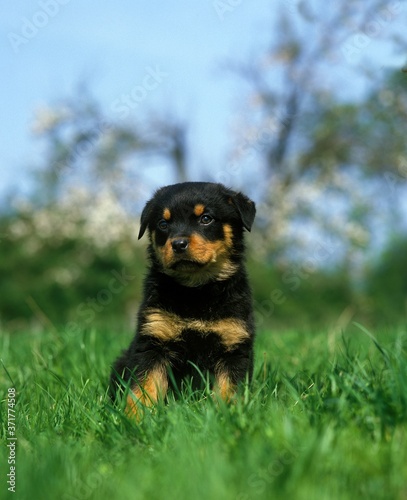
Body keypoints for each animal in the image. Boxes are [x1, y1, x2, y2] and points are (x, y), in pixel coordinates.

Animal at [110, 182, 256, 416]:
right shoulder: (153, 341)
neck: (195, 290)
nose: (178, 244)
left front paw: (228, 415)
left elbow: (229, 389)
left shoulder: (233, 344)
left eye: (206, 218)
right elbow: (143, 387)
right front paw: (136, 419)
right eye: (162, 224)